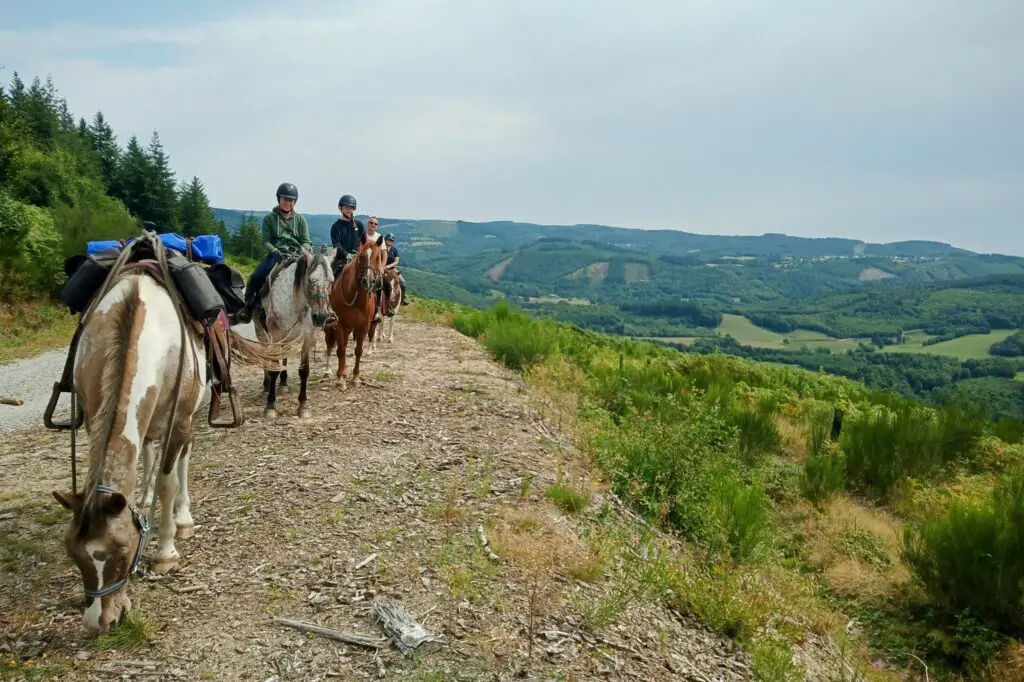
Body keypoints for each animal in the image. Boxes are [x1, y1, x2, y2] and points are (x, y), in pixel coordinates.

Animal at [51, 272, 208, 633]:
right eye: (72, 553)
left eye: (123, 552)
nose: (100, 622)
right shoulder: (95, 419)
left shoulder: (179, 421)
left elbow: (169, 484)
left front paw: (166, 551)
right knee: (148, 449)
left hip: (186, 419)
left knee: (183, 459)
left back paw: (183, 517)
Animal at [252, 250, 335, 419]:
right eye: (310, 280)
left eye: (330, 281)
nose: (321, 316)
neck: (296, 303)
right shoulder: (275, 336)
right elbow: (274, 369)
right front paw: (270, 406)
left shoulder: (308, 338)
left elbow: (304, 371)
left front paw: (303, 406)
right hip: (262, 333)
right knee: (266, 356)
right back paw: (266, 385)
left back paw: (283, 384)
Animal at [324, 240, 385, 389]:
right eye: (361, 257)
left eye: (377, 258)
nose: (368, 281)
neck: (356, 297)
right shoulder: (339, 324)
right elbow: (340, 350)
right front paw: (340, 378)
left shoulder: (363, 326)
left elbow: (358, 350)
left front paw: (355, 377)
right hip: (331, 327)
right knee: (330, 345)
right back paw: (328, 371)